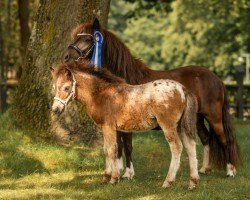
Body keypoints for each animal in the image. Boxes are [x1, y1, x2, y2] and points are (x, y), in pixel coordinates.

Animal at [50, 61, 199, 189]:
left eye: (66, 88)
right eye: (54, 88)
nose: (55, 109)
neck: (100, 94)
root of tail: (183, 89)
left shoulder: (108, 127)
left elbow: (112, 150)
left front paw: (114, 179)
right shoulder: (108, 129)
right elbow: (107, 150)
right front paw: (106, 177)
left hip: (168, 125)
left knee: (177, 147)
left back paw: (168, 181)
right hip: (181, 126)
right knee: (190, 146)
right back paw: (193, 182)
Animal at [61, 18, 241, 178]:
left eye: (87, 39)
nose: (65, 57)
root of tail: (217, 79)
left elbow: (127, 146)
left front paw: (128, 174)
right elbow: (118, 146)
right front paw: (117, 171)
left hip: (213, 116)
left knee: (225, 140)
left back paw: (230, 172)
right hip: (197, 118)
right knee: (206, 138)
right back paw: (204, 169)